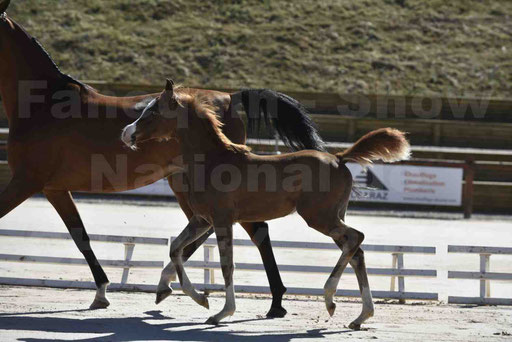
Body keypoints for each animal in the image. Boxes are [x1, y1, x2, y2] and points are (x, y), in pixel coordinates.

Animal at [0, 0, 324, 316]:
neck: (43, 104)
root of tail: (230, 97)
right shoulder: (53, 188)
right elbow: (80, 235)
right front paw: (102, 292)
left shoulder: (26, 181)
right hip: (184, 184)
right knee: (210, 230)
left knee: (248, 230)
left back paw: (271, 302)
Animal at [123, 81, 412, 330]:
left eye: (152, 112)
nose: (127, 133)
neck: (213, 160)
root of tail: (340, 158)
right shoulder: (202, 220)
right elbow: (175, 249)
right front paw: (199, 299)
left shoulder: (222, 220)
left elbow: (227, 264)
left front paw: (222, 312)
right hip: (332, 217)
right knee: (356, 251)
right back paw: (360, 316)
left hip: (320, 218)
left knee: (356, 238)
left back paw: (330, 299)